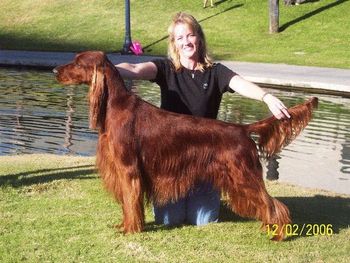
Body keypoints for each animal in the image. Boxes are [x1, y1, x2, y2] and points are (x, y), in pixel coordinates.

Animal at [53, 51, 318, 241]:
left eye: (77, 62)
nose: (55, 69)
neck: (114, 106)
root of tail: (242, 129)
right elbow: (128, 205)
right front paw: (126, 224)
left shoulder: (129, 170)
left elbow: (131, 202)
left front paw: (130, 229)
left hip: (244, 176)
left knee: (272, 203)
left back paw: (279, 234)